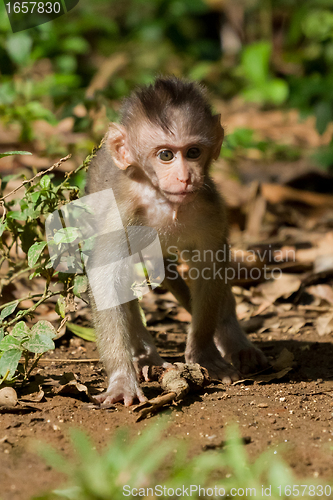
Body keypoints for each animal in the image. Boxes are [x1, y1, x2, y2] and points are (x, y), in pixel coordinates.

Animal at [86, 78, 268, 406]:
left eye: (193, 152)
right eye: (166, 155)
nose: (185, 177)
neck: (164, 201)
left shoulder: (210, 207)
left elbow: (211, 268)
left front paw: (205, 353)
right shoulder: (121, 213)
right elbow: (105, 277)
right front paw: (121, 379)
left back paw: (235, 340)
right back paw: (147, 357)